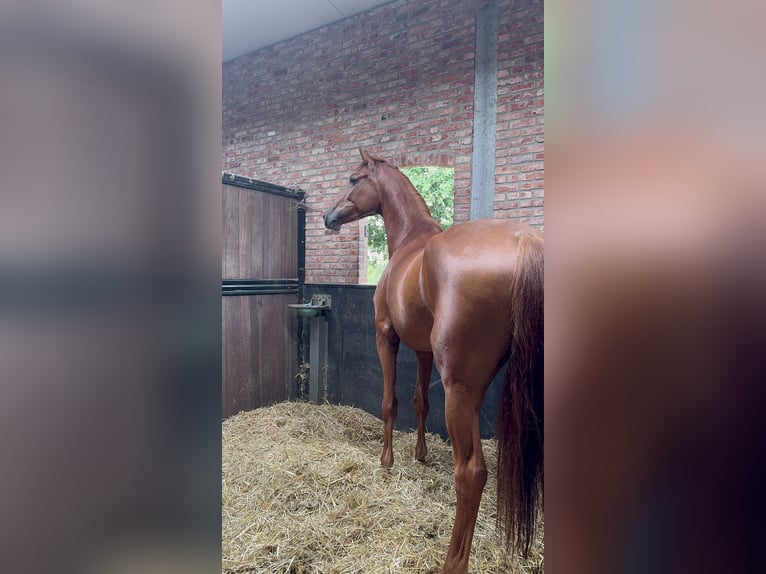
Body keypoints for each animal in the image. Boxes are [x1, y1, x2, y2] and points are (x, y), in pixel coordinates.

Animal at [324, 150, 544, 574]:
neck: (411, 242)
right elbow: (419, 402)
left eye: (353, 179)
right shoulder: (422, 351)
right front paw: (420, 454)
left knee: (471, 473)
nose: (328, 216)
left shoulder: (386, 337)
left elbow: (390, 403)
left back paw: (453, 561)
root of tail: (524, 241)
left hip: (459, 389)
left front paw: (387, 460)